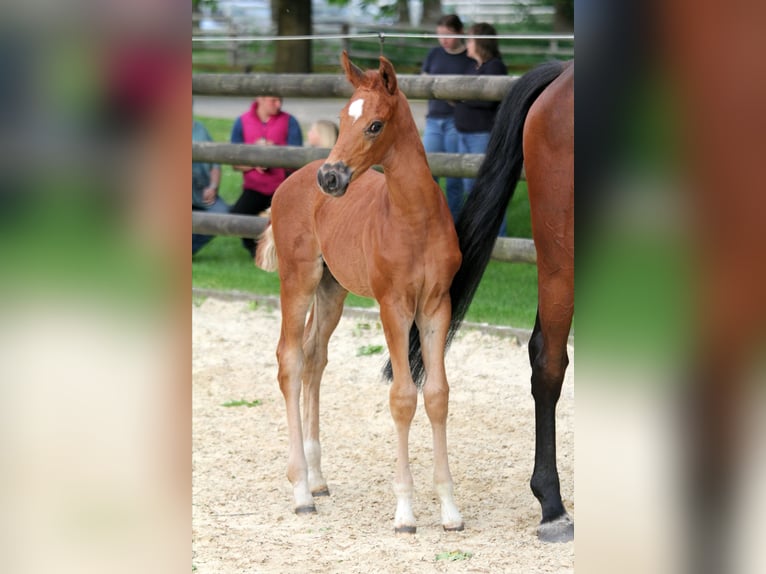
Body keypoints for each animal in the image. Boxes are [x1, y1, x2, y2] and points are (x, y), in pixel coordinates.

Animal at [258, 53, 464, 536]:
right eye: (340, 117)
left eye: (374, 124)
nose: (330, 177)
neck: (414, 219)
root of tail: (289, 182)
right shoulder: (393, 307)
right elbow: (403, 398)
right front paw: (405, 512)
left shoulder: (436, 306)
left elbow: (437, 395)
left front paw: (449, 510)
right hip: (298, 281)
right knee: (289, 359)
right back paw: (300, 490)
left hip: (331, 290)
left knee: (314, 357)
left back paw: (317, 478)